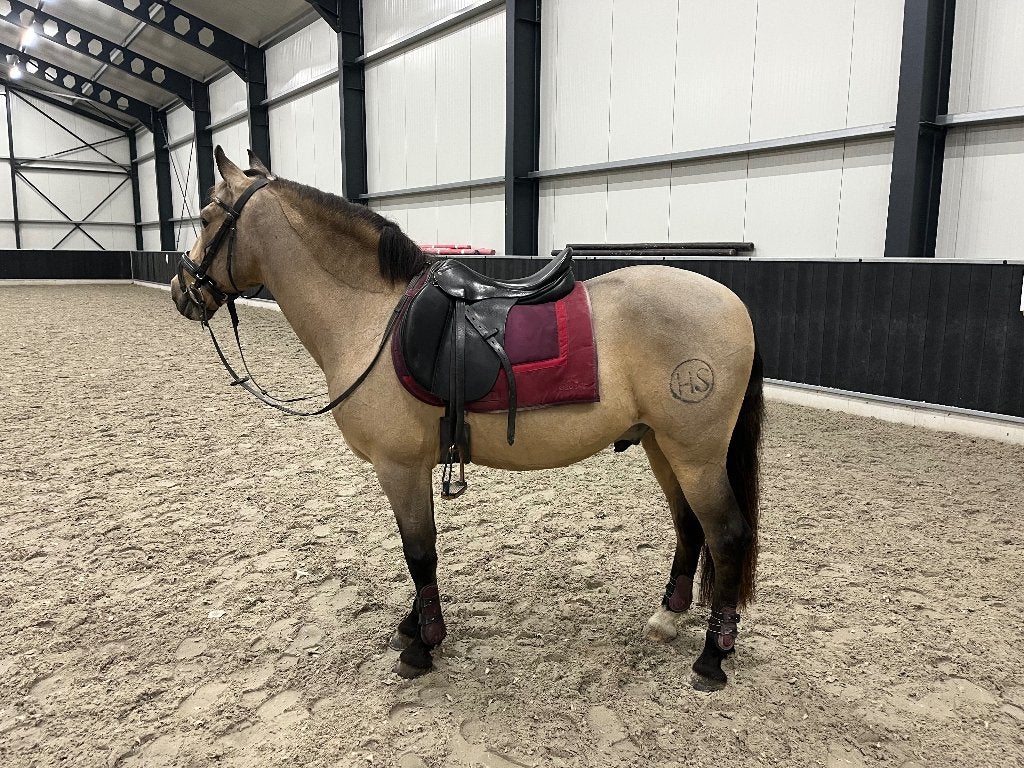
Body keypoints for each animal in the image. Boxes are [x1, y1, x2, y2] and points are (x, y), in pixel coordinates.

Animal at [170, 147, 764, 691]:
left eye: (207, 216)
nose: (182, 290)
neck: (372, 316)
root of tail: (734, 303)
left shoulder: (400, 467)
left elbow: (419, 551)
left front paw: (423, 645)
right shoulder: (411, 468)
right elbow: (421, 551)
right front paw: (413, 627)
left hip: (696, 454)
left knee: (727, 535)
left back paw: (713, 656)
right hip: (662, 445)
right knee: (690, 526)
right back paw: (668, 618)